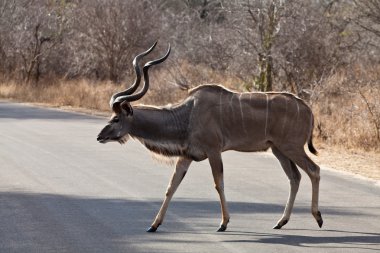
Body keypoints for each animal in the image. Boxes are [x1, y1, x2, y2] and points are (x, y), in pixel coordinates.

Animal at [96, 42, 322, 232]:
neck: (187, 115)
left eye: (116, 118)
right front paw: (153, 225)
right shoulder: (186, 155)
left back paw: (318, 217)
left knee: (314, 170)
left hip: (292, 147)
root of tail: (307, 108)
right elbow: (171, 187)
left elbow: (218, 183)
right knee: (295, 177)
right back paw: (281, 221)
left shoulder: (214, 151)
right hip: (278, 149)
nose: (100, 136)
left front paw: (223, 223)